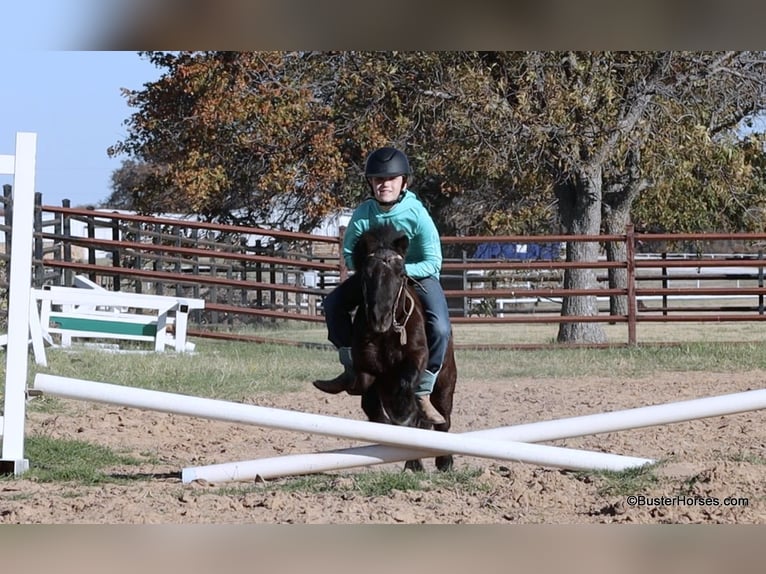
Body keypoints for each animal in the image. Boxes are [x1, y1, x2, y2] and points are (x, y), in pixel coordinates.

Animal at [349, 223, 457, 472]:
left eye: (401, 274)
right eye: (366, 274)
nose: (380, 318)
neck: (388, 333)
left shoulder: (417, 357)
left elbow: (407, 386)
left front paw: (404, 412)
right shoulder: (366, 366)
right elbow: (368, 397)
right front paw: (385, 422)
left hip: (445, 385)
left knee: (443, 419)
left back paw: (443, 461)